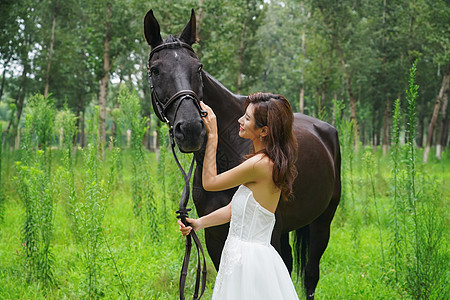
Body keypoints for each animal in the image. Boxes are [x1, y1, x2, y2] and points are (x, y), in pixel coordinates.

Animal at [144, 9, 342, 300]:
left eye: (198, 68)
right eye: (156, 70)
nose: (191, 129)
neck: (227, 153)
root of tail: (325, 129)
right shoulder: (215, 236)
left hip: (322, 222)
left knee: (310, 274)